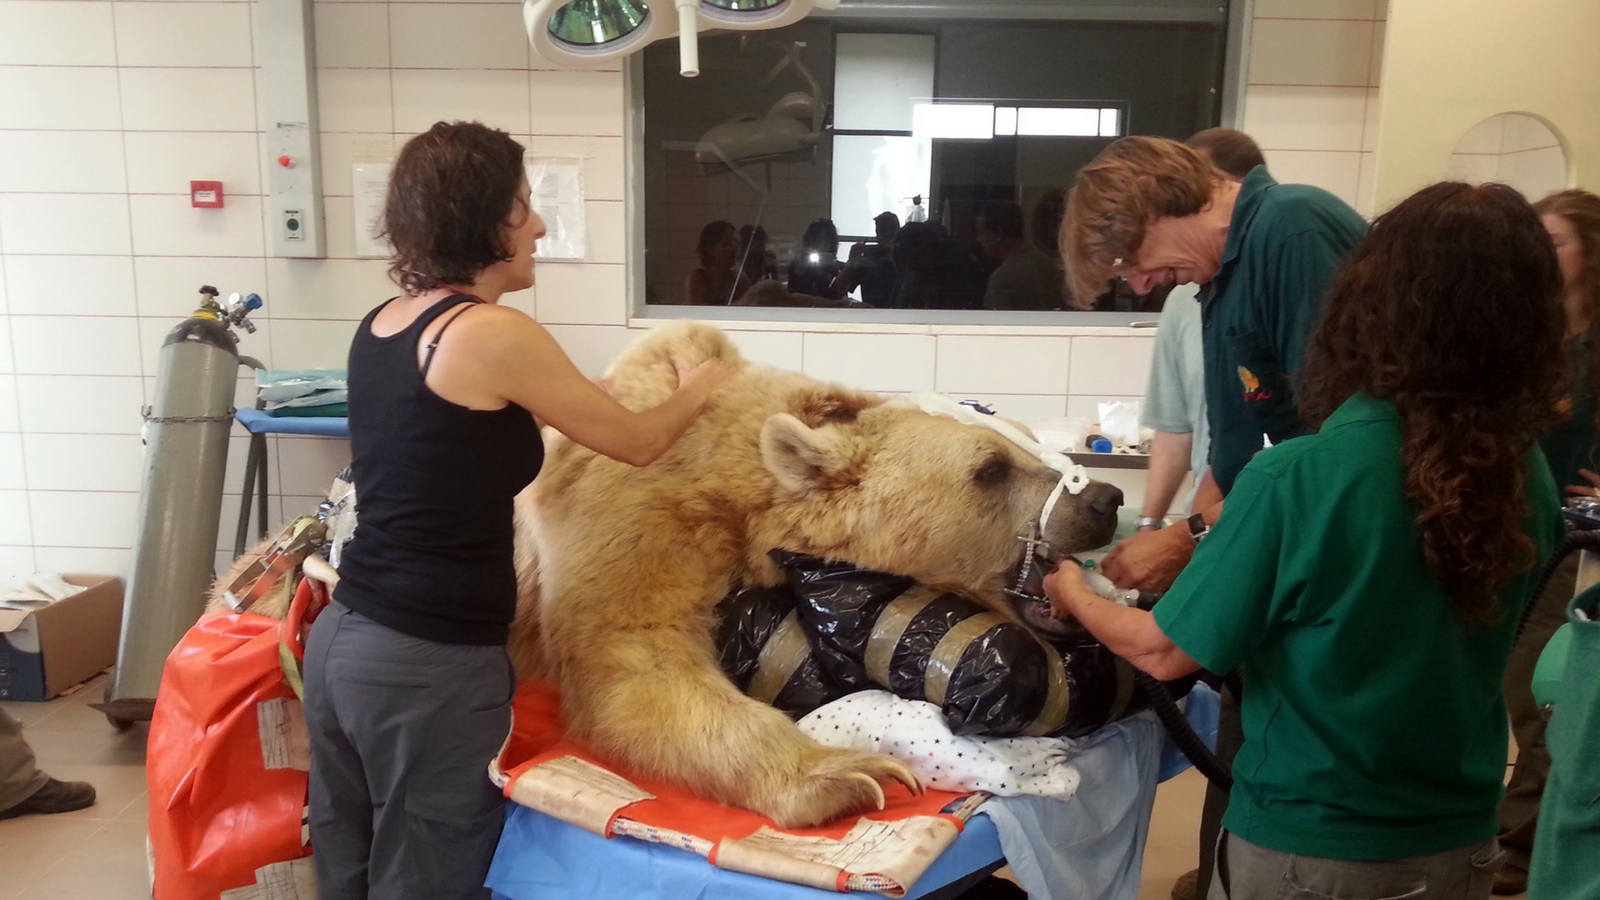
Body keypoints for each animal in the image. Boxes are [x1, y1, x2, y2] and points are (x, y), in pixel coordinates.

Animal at [520, 320, 1123, 828]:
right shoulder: (637, 513)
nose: (1103, 499)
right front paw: (854, 774)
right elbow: (630, 655)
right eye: (991, 468)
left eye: (1029, 441)